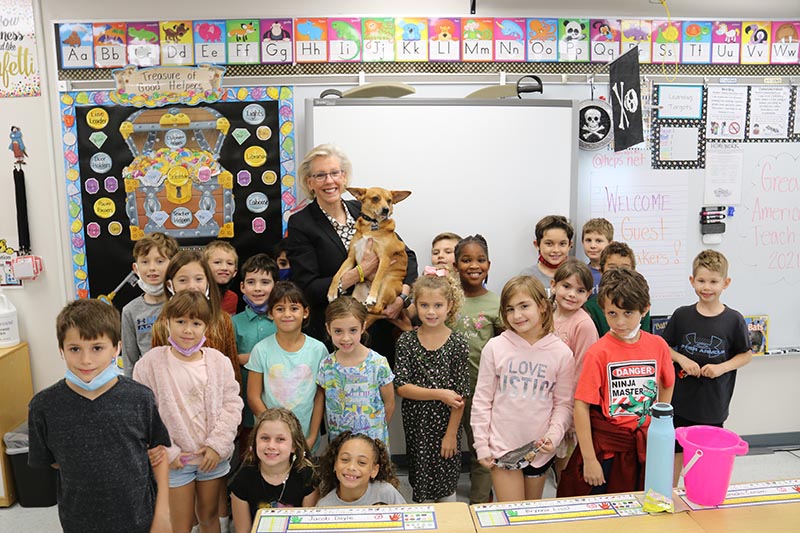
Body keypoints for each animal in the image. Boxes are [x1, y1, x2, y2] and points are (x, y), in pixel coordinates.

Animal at [326, 187, 410, 324]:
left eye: (389, 200)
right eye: (375, 198)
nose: (386, 209)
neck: (372, 225)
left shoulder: (384, 259)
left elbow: (377, 279)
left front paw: (371, 297)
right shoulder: (351, 259)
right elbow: (337, 274)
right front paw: (332, 292)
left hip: (387, 283)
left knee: (379, 309)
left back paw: (369, 304)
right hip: (357, 293)